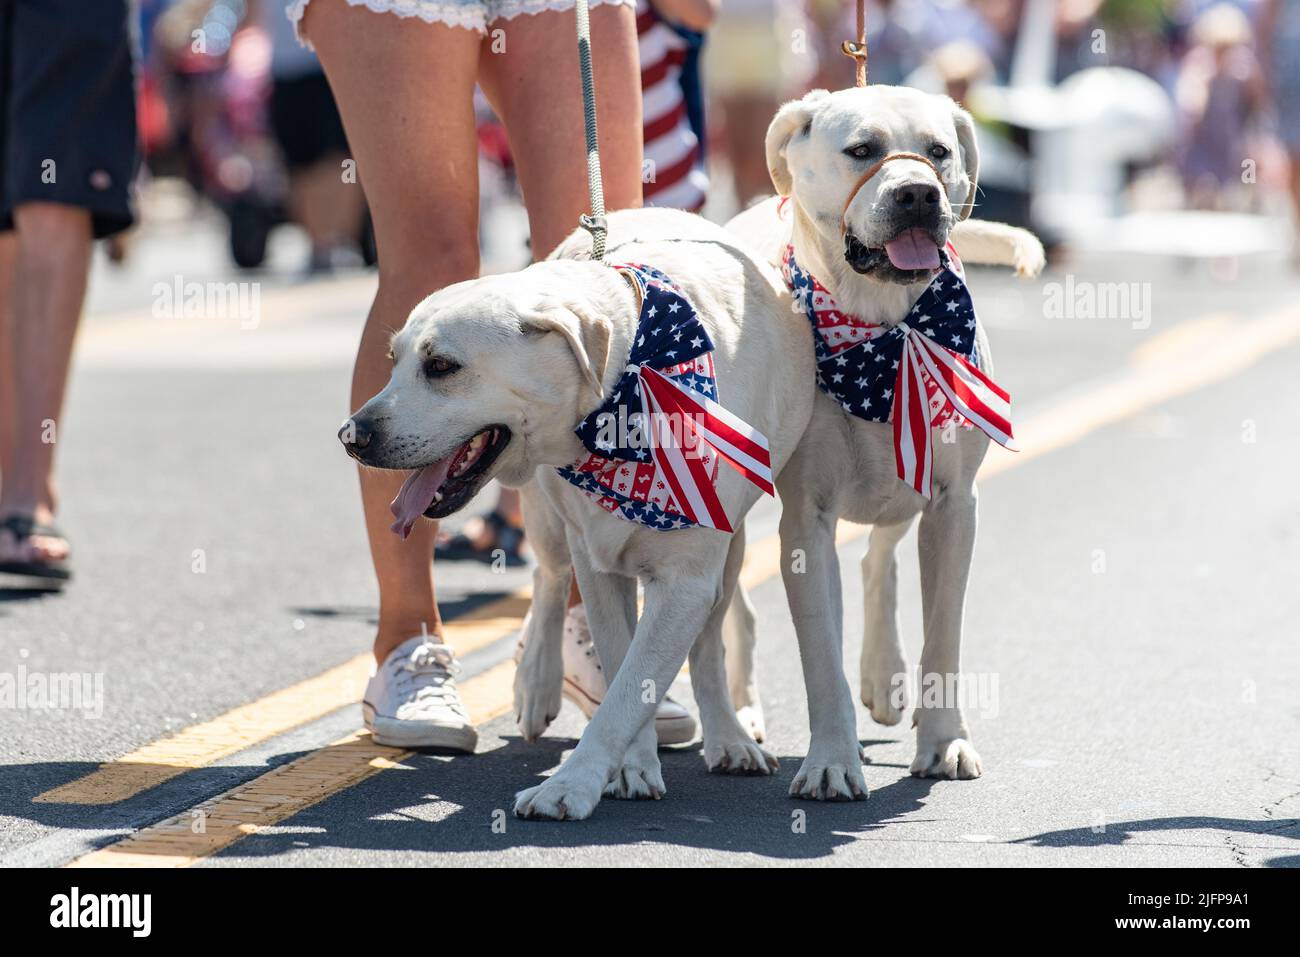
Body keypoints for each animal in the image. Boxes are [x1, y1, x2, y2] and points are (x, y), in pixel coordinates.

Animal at [345, 210, 811, 821]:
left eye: (441, 366)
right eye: (393, 362)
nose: (350, 435)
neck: (631, 373)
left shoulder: (688, 580)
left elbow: (632, 686)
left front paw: (572, 785)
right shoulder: (598, 567)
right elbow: (618, 668)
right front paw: (628, 766)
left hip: (725, 553)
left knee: (710, 640)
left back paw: (730, 738)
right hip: (547, 515)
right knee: (548, 579)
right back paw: (536, 682)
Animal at [722, 85, 1045, 795]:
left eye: (939, 151)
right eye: (861, 149)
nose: (918, 193)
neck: (882, 325)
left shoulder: (954, 505)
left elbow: (943, 636)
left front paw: (945, 741)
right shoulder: (806, 521)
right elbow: (820, 656)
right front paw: (830, 760)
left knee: (880, 558)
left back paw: (884, 675)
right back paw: (742, 713)